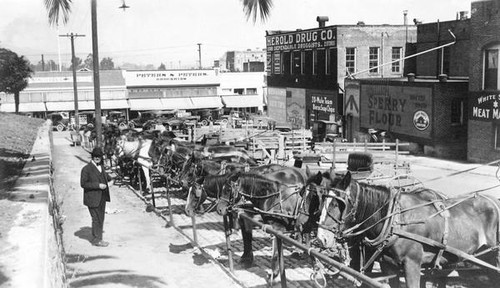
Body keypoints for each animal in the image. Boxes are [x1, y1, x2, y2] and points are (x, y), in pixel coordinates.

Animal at [318, 171, 500, 288]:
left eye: (337, 204)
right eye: (323, 200)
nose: (321, 238)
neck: (395, 220)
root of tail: (494, 200)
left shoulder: (412, 264)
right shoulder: (388, 266)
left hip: (493, 257)